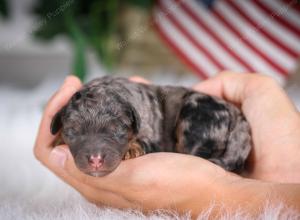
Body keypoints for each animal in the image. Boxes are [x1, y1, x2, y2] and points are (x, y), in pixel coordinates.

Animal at [51, 76, 251, 176]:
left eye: (117, 129)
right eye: (72, 131)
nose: (95, 159)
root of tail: (237, 116)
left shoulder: (153, 136)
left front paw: (131, 149)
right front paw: (58, 139)